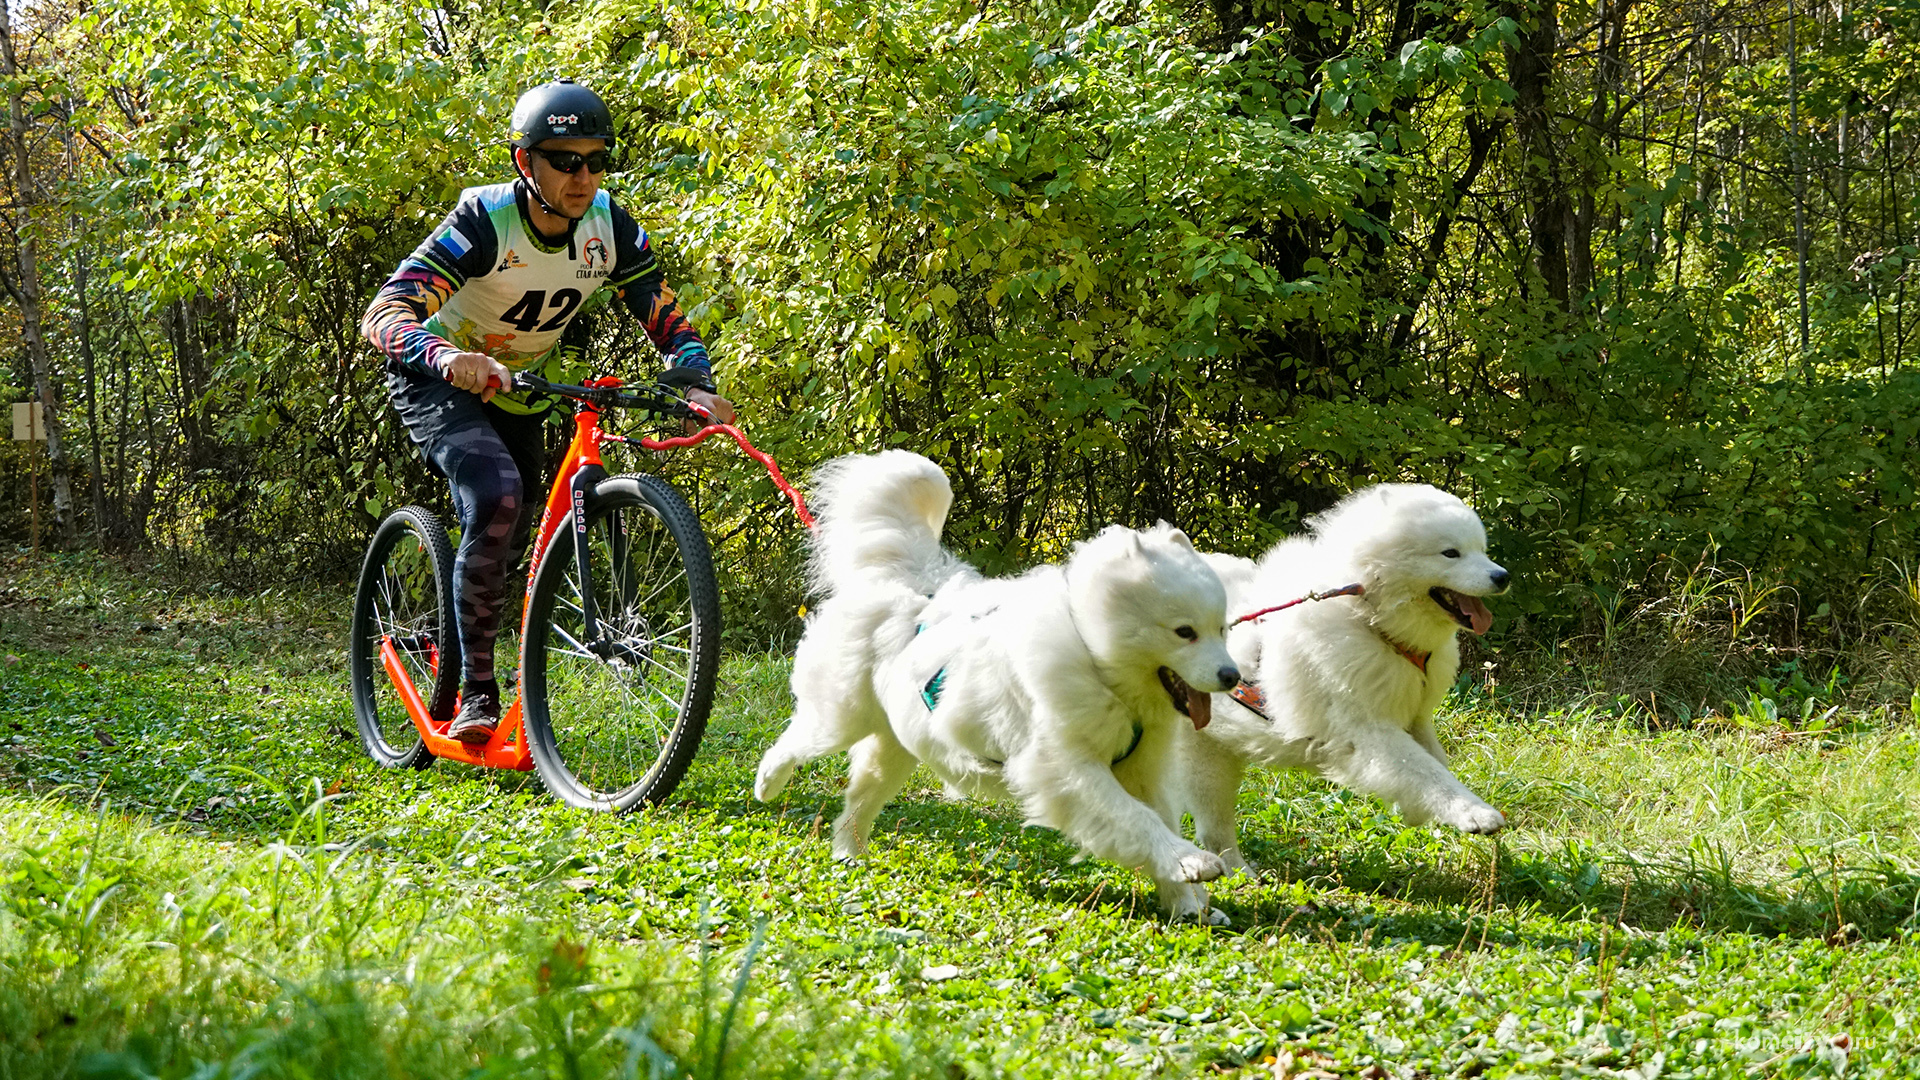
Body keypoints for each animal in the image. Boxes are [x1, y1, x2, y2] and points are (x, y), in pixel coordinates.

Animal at [748, 447, 1244, 914]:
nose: (1232, 675)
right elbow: (1136, 820)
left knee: (857, 803)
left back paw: (847, 853)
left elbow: (1156, 818)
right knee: (795, 740)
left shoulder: (1142, 769)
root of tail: (907, 582)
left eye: (1222, 629)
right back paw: (767, 784)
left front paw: (1186, 902)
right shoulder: (1066, 769)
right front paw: (1191, 861)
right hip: (841, 718)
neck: (1097, 659)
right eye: (1184, 632)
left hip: (893, 750)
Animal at [1182, 478, 1512, 864]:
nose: (1502, 576)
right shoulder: (1368, 730)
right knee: (1212, 830)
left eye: (1482, 550)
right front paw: (1475, 812)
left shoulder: (1415, 717)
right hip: (1203, 764)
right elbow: (1428, 773)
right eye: (1451, 553)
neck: (1369, 619)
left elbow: (1436, 764)